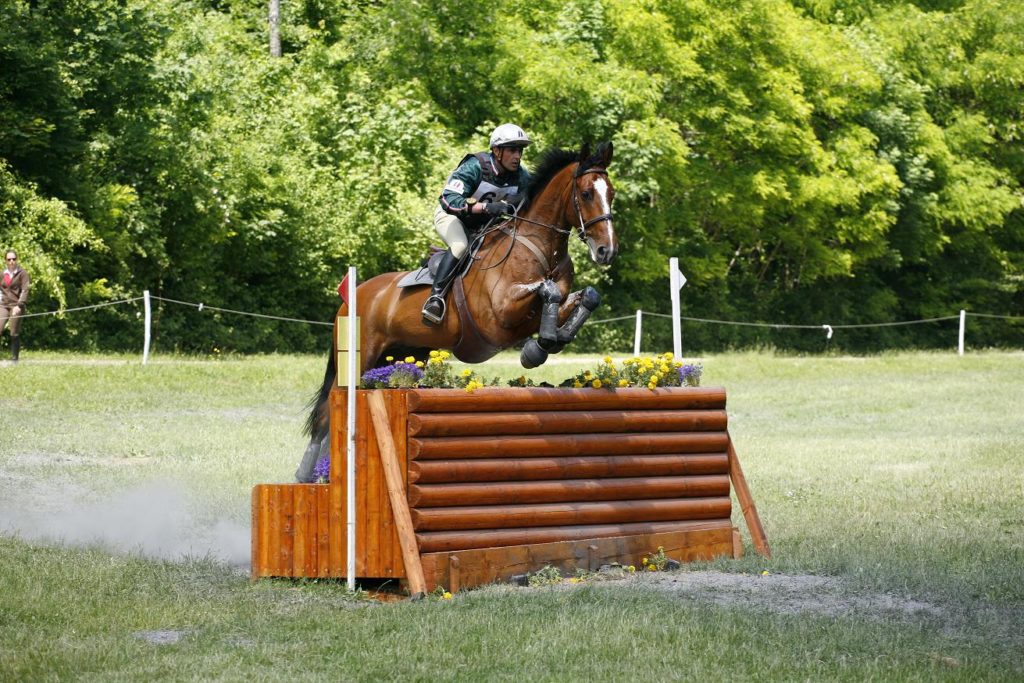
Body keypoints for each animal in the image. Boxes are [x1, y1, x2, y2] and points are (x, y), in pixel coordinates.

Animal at [296, 141, 614, 481]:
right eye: (586, 194)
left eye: (612, 193)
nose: (606, 251)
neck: (540, 247)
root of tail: (352, 295)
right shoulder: (499, 316)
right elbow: (547, 290)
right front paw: (536, 349)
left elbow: (585, 296)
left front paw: (549, 341)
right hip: (360, 356)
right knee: (329, 411)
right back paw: (308, 476)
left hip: (404, 354)